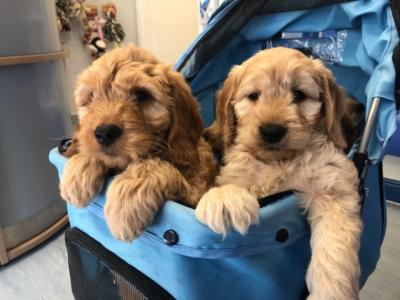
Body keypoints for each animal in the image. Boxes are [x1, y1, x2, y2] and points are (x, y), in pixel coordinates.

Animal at [59, 45, 217, 241]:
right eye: (91, 97)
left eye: (141, 95)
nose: (104, 133)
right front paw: (78, 170)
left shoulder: (193, 194)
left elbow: (152, 164)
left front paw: (126, 202)